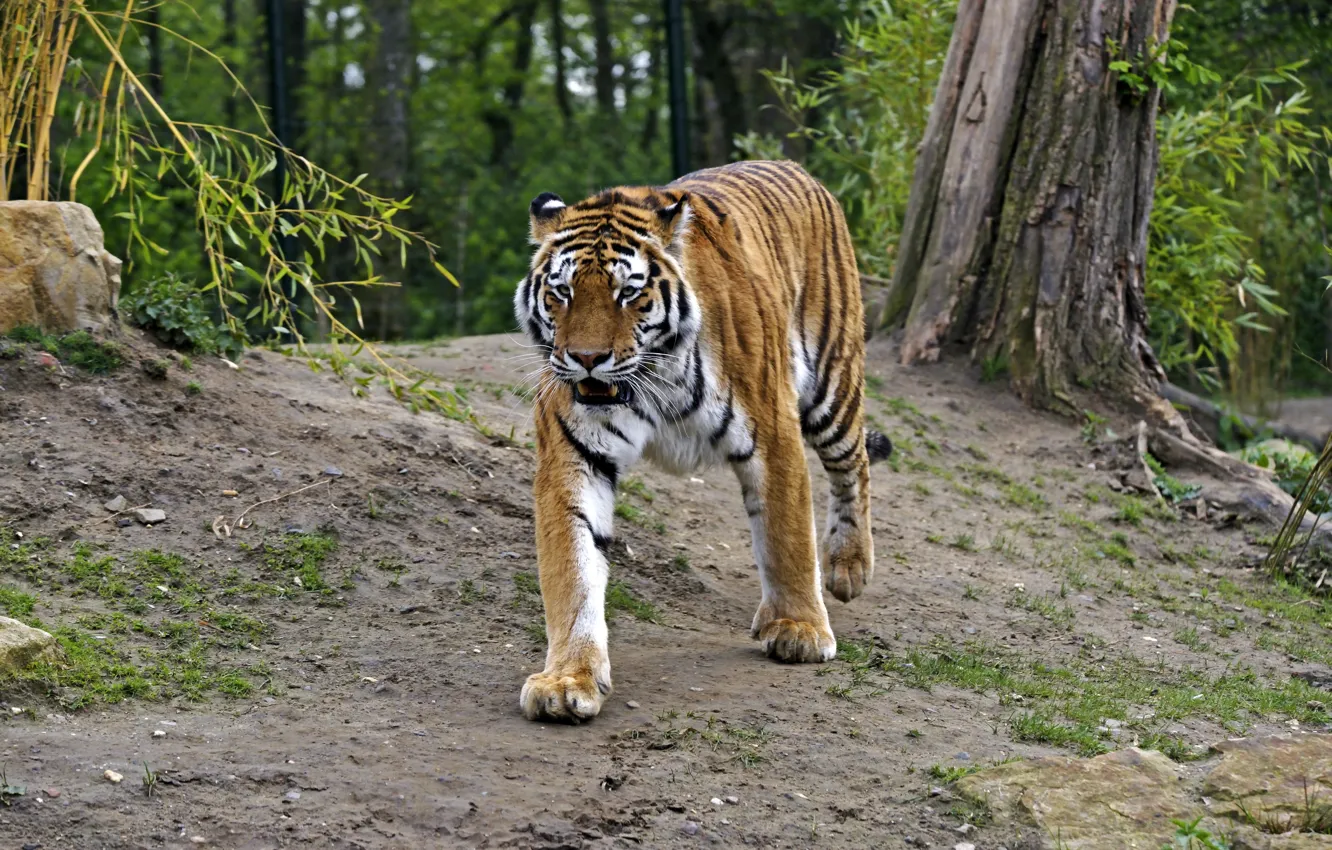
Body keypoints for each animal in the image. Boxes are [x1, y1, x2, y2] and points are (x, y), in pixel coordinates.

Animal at [513, 159, 893, 722]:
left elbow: (787, 536)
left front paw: (800, 629)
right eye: (561, 292)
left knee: (855, 465)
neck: (654, 375)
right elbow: (573, 570)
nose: (586, 359)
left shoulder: (774, 430)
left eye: (628, 293)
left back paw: (848, 568)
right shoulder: (573, 456)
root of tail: (795, 167)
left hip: (833, 384)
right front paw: (566, 680)